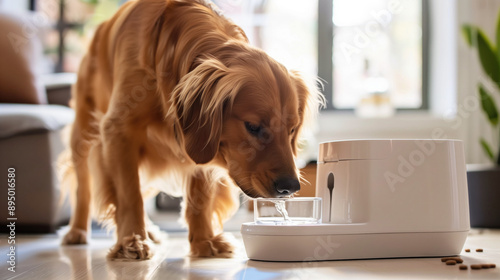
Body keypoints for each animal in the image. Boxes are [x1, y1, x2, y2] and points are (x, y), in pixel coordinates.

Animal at [60, 0, 322, 260]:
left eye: (291, 129)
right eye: (253, 127)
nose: (290, 187)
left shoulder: (198, 143)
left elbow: (199, 196)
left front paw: (204, 240)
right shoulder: (118, 131)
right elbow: (129, 195)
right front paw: (131, 241)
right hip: (84, 134)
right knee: (83, 187)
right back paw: (77, 232)